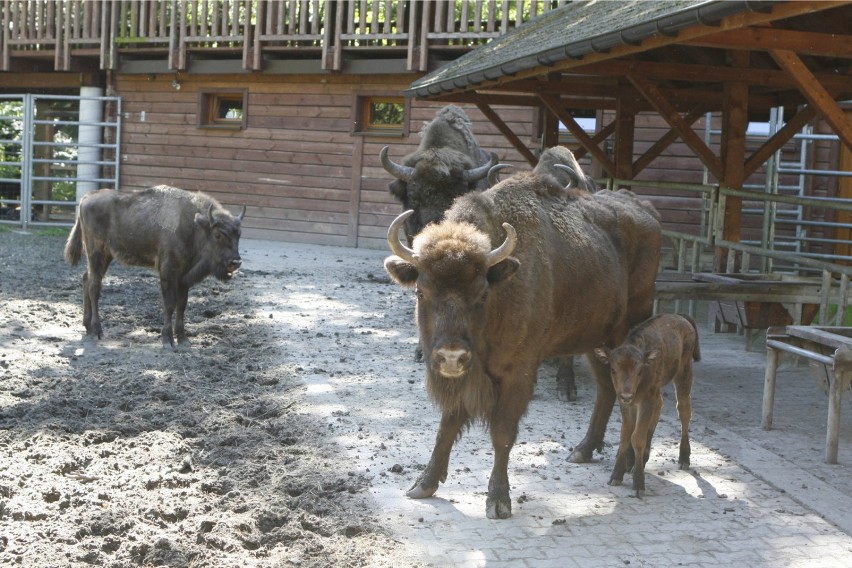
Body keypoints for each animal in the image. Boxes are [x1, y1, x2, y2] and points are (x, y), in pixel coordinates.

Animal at [64, 184, 245, 348]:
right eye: (218, 235)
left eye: (239, 234)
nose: (235, 262)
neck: (194, 226)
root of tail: (87, 197)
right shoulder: (168, 273)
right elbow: (169, 305)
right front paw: (167, 341)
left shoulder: (184, 278)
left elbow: (182, 305)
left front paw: (183, 339)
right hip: (96, 252)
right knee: (94, 286)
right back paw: (97, 331)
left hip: (106, 256)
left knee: (86, 279)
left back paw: (87, 327)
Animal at [382, 171, 664, 516]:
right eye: (421, 292)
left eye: (481, 293)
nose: (451, 356)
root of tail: (647, 211)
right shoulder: (465, 380)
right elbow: (447, 425)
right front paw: (423, 484)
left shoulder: (518, 373)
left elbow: (503, 432)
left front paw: (498, 501)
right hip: (597, 341)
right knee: (606, 389)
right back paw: (583, 450)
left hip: (631, 331)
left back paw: (631, 461)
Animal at [592, 316, 700, 496]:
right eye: (613, 370)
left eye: (639, 371)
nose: (627, 395)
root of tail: (683, 318)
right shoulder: (628, 404)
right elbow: (625, 435)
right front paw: (617, 475)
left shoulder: (646, 400)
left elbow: (637, 437)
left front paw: (639, 484)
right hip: (656, 390)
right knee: (660, 405)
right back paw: (640, 459)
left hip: (684, 373)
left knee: (684, 410)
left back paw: (684, 458)